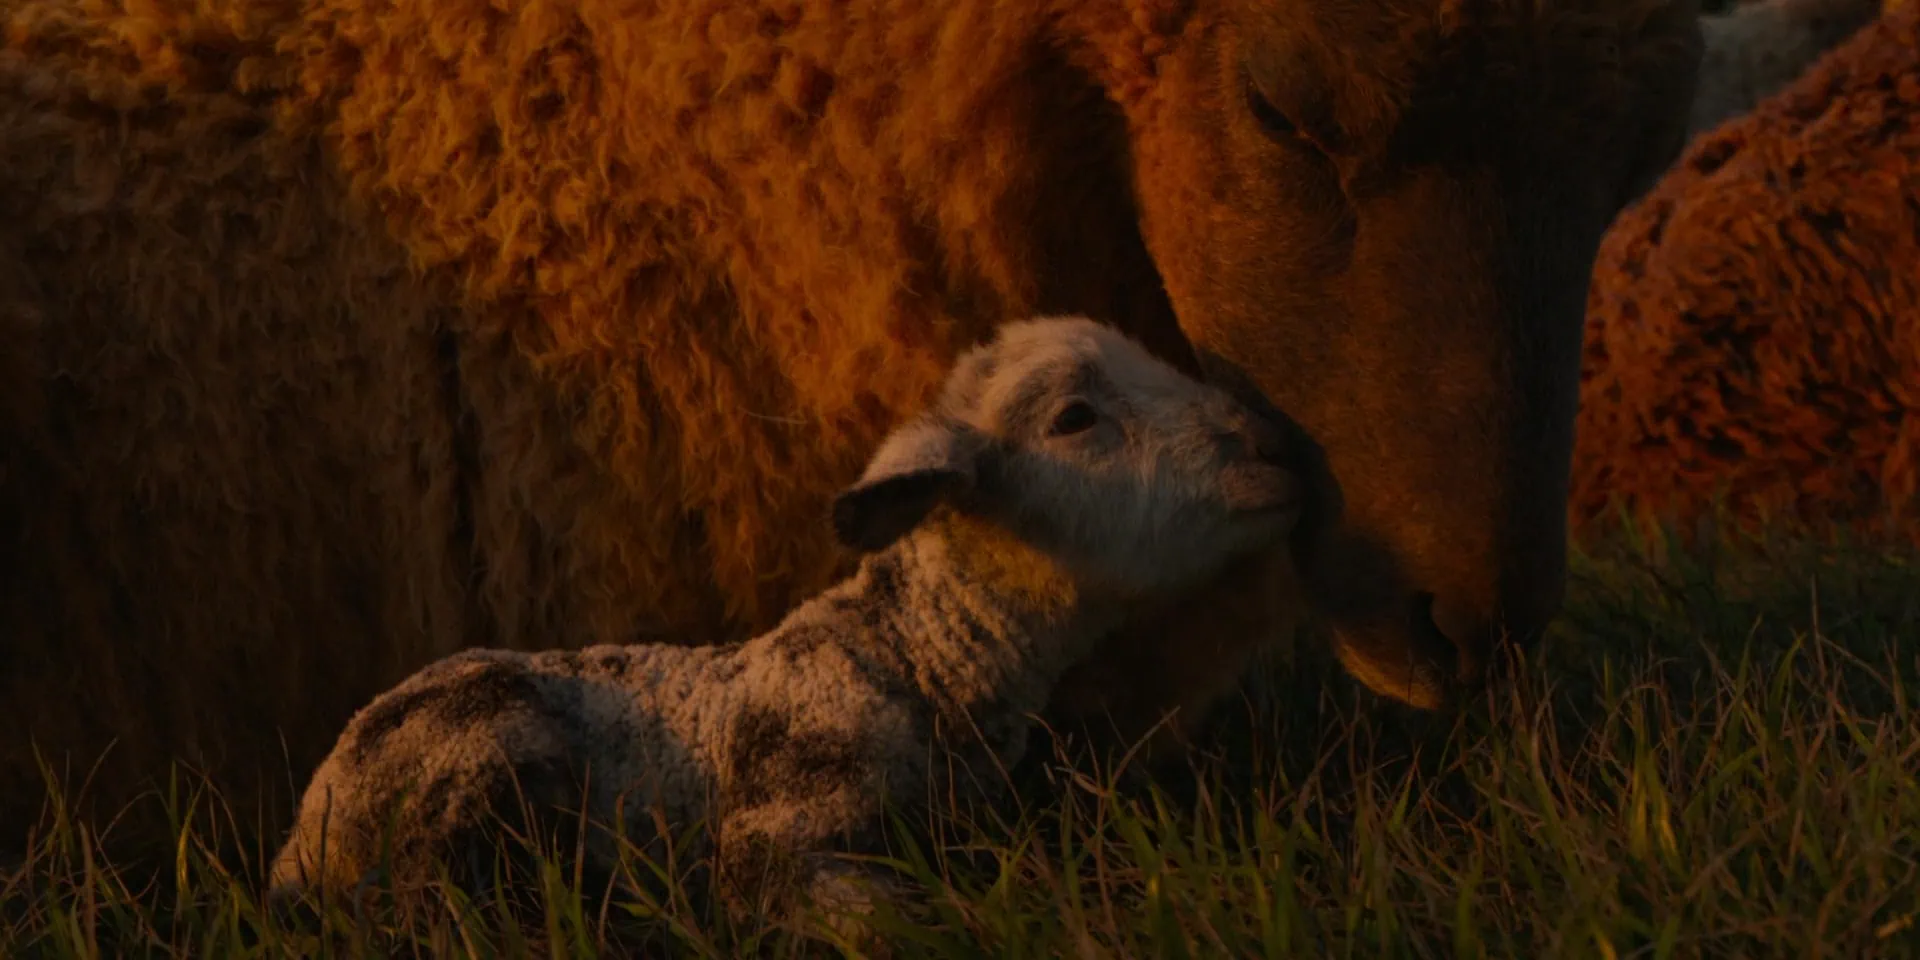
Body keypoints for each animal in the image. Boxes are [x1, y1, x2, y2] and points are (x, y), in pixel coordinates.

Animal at [264, 315, 1305, 926]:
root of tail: (303, 835)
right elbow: (875, 913)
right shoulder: (778, 825)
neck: (911, 652)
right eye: (1075, 418)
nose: (1272, 448)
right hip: (473, 757)